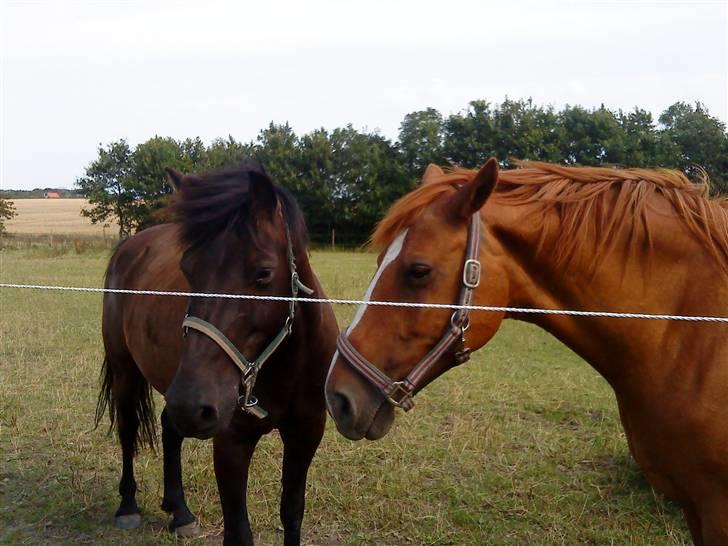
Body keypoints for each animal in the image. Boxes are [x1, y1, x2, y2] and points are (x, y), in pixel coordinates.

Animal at [94, 165, 342, 544]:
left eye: (264, 273)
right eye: (188, 269)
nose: (194, 404)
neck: (285, 365)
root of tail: (130, 246)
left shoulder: (306, 432)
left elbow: (292, 513)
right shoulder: (231, 443)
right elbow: (238, 531)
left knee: (169, 426)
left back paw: (180, 512)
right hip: (128, 371)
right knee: (127, 427)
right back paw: (127, 507)